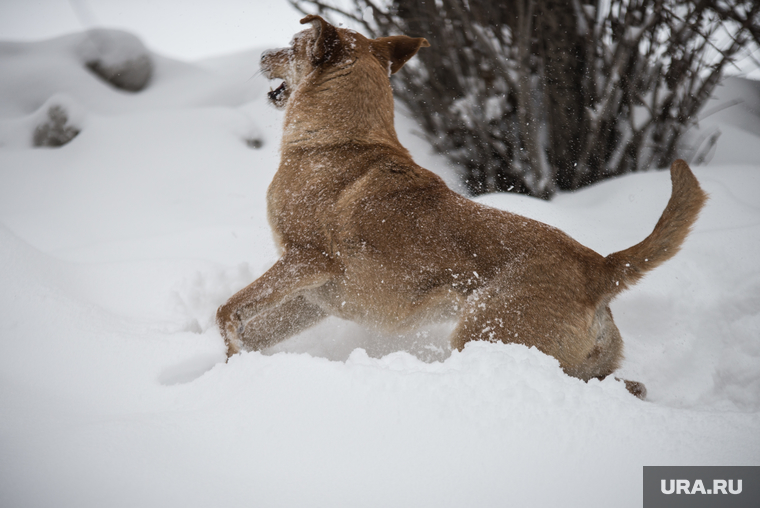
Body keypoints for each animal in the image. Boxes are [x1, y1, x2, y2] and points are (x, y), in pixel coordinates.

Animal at [214, 14, 708, 396]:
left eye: (292, 46)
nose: (261, 56)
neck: (338, 140)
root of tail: (599, 266)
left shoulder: (305, 259)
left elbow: (226, 313)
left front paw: (231, 359)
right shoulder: (312, 297)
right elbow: (253, 329)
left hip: (485, 331)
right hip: (575, 360)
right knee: (628, 387)